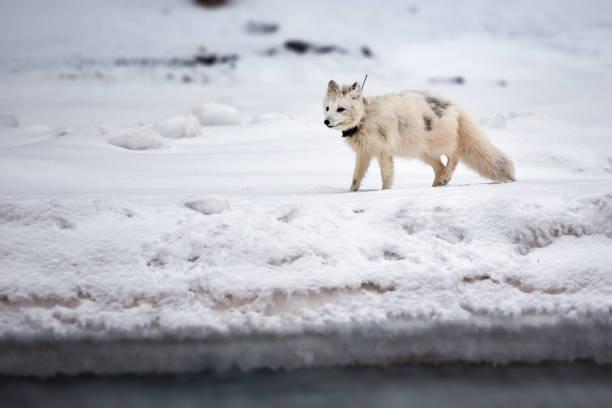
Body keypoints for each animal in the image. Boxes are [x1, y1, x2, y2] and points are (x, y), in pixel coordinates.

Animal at [322, 81, 512, 193]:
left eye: (341, 109)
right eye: (327, 108)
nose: (326, 122)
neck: (364, 117)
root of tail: (453, 104)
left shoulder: (384, 153)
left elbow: (386, 178)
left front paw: (384, 193)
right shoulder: (364, 154)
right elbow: (355, 180)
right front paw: (351, 193)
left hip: (439, 145)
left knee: (454, 156)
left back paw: (445, 178)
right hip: (424, 153)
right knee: (440, 167)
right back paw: (436, 186)